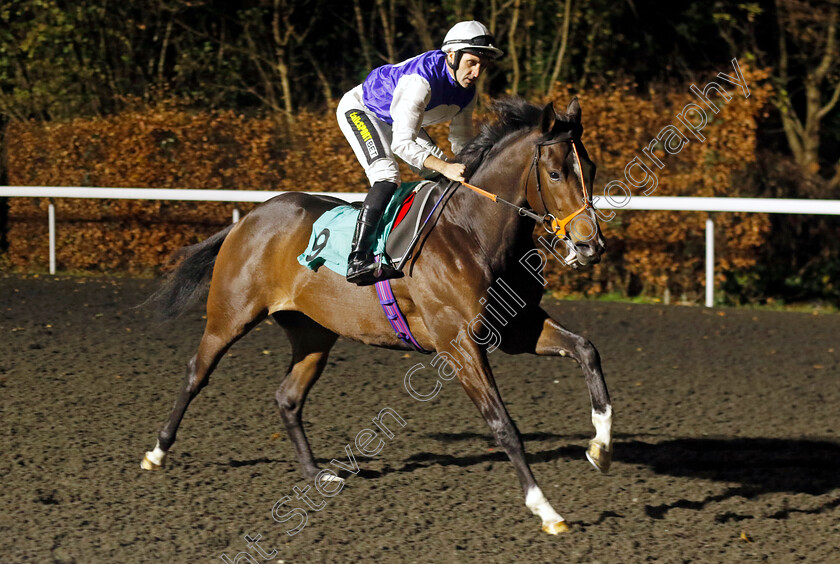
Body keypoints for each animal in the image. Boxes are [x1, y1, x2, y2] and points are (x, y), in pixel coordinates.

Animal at [141, 97, 612, 532]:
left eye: (589, 167)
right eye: (556, 173)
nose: (590, 245)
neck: (472, 233)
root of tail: (248, 218)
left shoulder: (515, 328)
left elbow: (587, 350)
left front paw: (600, 448)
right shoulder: (459, 345)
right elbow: (504, 425)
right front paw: (545, 509)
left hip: (314, 333)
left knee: (288, 398)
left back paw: (317, 474)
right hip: (231, 316)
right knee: (196, 373)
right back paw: (156, 452)